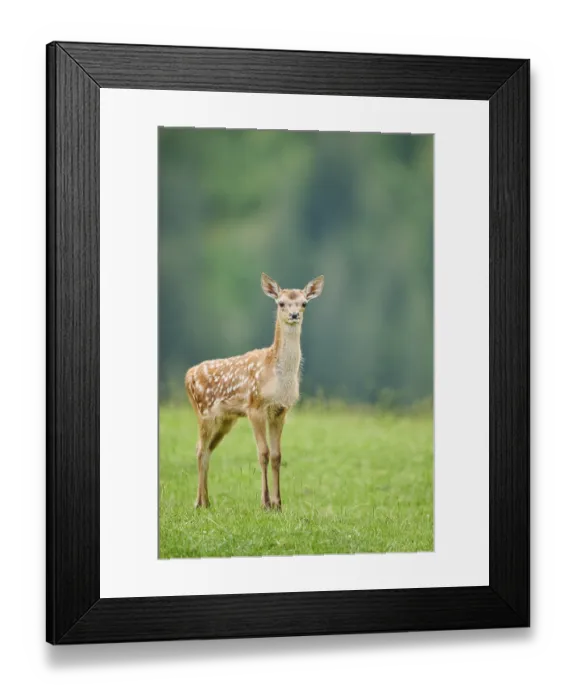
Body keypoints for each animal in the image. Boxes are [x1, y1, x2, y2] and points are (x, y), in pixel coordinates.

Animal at [185, 273, 325, 511]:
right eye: (281, 303)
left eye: (304, 303)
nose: (294, 315)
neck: (278, 375)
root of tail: (189, 374)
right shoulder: (255, 406)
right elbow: (263, 453)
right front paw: (265, 503)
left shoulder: (280, 410)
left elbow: (277, 455)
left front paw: (278, 504)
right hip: (204, 412)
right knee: (200, 449)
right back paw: (200, 503)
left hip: (226, 419)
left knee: (207, 450)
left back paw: (205, 501)